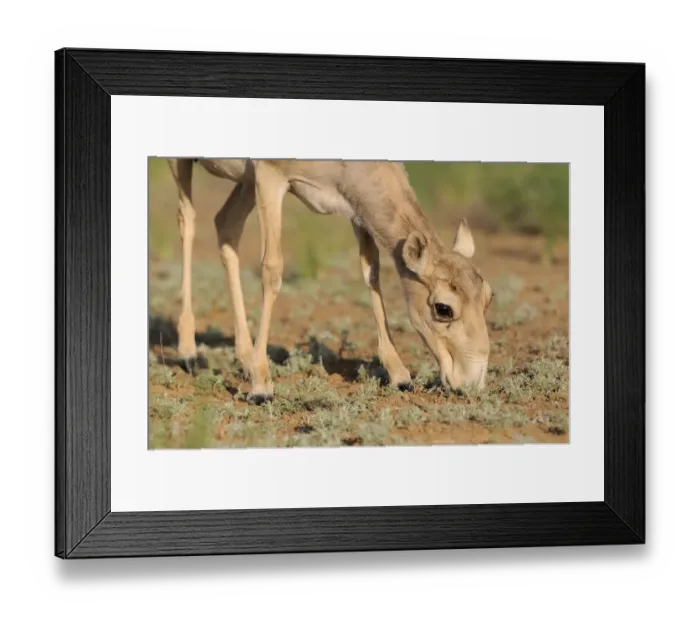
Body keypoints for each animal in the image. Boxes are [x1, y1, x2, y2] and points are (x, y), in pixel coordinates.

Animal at [166, 158, 493, 404]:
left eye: (487, 296)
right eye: (443, 308)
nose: (473, 382)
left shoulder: (355, 210)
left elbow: (371, 271)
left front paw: (399, 374)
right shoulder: (270, 176)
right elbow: (272, 268)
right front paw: (261, 386)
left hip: (245, 182)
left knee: (226, 225)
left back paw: (245, 358)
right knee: (187, 220)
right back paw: (189, 352)